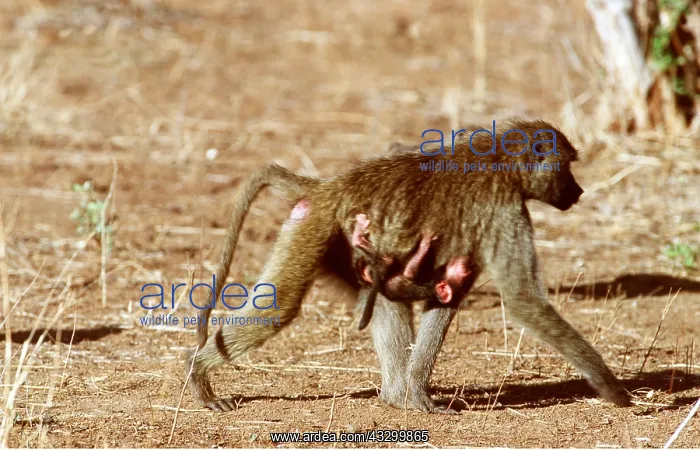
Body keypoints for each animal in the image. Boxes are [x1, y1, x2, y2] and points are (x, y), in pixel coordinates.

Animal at [186, 118, 632, 413]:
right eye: (567, 166)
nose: (578, 191)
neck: (500, 162)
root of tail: (328, 186)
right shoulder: (504, 209)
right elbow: (523, 300)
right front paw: (612, 388)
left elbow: (447, 295)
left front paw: (417, 396)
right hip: (313, 229)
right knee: (280, 309)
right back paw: (199, 375)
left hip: (347, 246)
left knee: (385, 300)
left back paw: (396, 397)